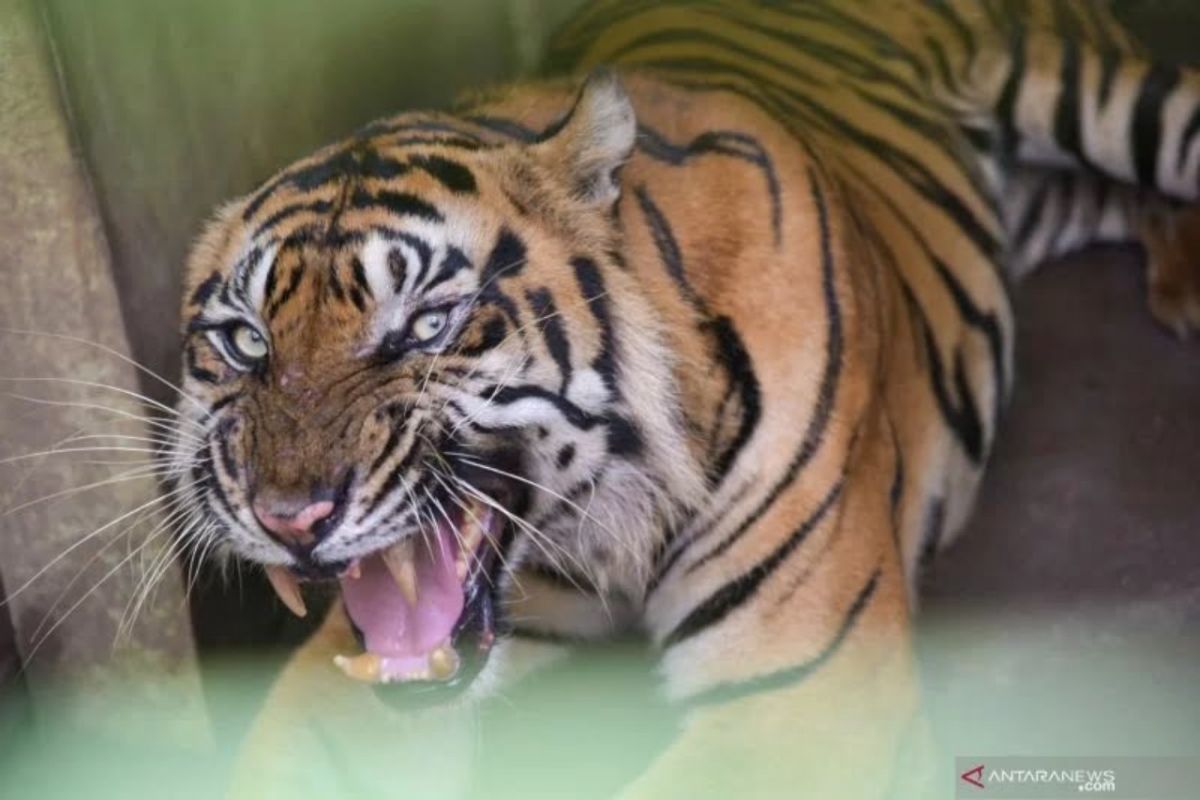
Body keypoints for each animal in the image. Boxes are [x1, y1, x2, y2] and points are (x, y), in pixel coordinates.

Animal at [169, 0, 1200, 796]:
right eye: (245, 340)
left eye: (427, 324)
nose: (291, 518)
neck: (596, 515)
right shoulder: (347, 678)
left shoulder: (804, 691)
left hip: (1093, 85)